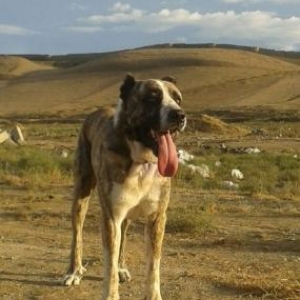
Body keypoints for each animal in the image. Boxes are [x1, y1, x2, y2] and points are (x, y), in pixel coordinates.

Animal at [62, 75, 185, 300]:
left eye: (177, 99)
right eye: (151, 98)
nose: (180, 115)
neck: (141, 162)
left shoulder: (157, 218)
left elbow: (153, 266)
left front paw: (153, 295)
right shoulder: (111, 217)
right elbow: (108, 266)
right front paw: (110, 294)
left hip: (126, 215)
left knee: (124, 236)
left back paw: (121, 268)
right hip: (81, 194)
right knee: (77, 233)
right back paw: (74, 271)